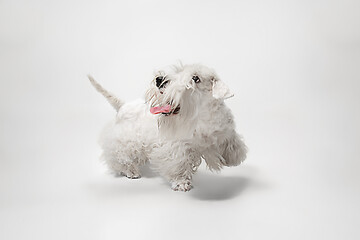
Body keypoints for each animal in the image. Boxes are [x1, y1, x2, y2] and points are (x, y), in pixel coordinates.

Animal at [89, 63, 248, 191]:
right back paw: (131, 171)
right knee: (118, 156)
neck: (200, 119)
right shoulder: (177, 147)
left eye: (196, 78)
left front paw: (233, 159)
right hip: (124, 141)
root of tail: (123, 106)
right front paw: (181, 183)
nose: (159, 79)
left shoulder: (226, 133)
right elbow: (179, 164)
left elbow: (233, 145)